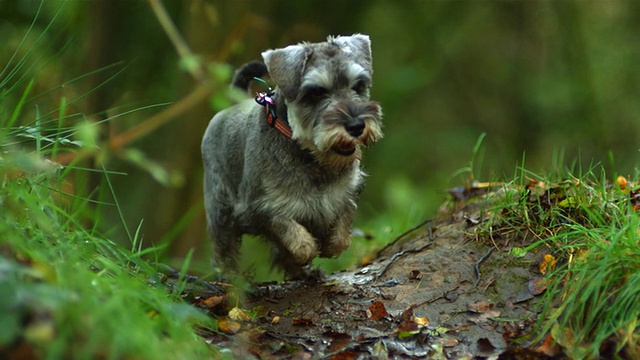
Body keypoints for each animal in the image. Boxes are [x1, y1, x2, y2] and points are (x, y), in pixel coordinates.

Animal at [201, 33, 380, 280]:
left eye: (358, 85)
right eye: (316, 93)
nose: (356, 126)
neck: (312, 158)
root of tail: (232, 105)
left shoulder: (345, 194)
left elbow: (343, 230)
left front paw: (329, 245)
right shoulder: (259, 208)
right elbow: (291, 232)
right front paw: (307, 248)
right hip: (219, 210)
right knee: (223, 248)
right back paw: (230, 278)